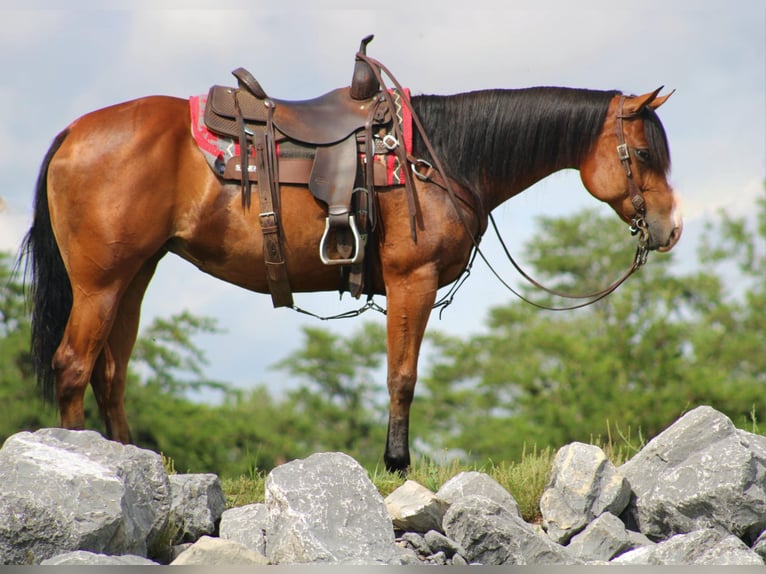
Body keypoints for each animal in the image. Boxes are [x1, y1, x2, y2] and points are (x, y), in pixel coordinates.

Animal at [21, 75, 681, 473]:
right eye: (646, 153)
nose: (672, 228)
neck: (438, 157)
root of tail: (73, 134)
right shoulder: (411, 279)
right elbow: (402, 377)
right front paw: (397, 463)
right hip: (100, 283)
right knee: (73, 366)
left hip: (134, 278)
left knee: (110, 374)